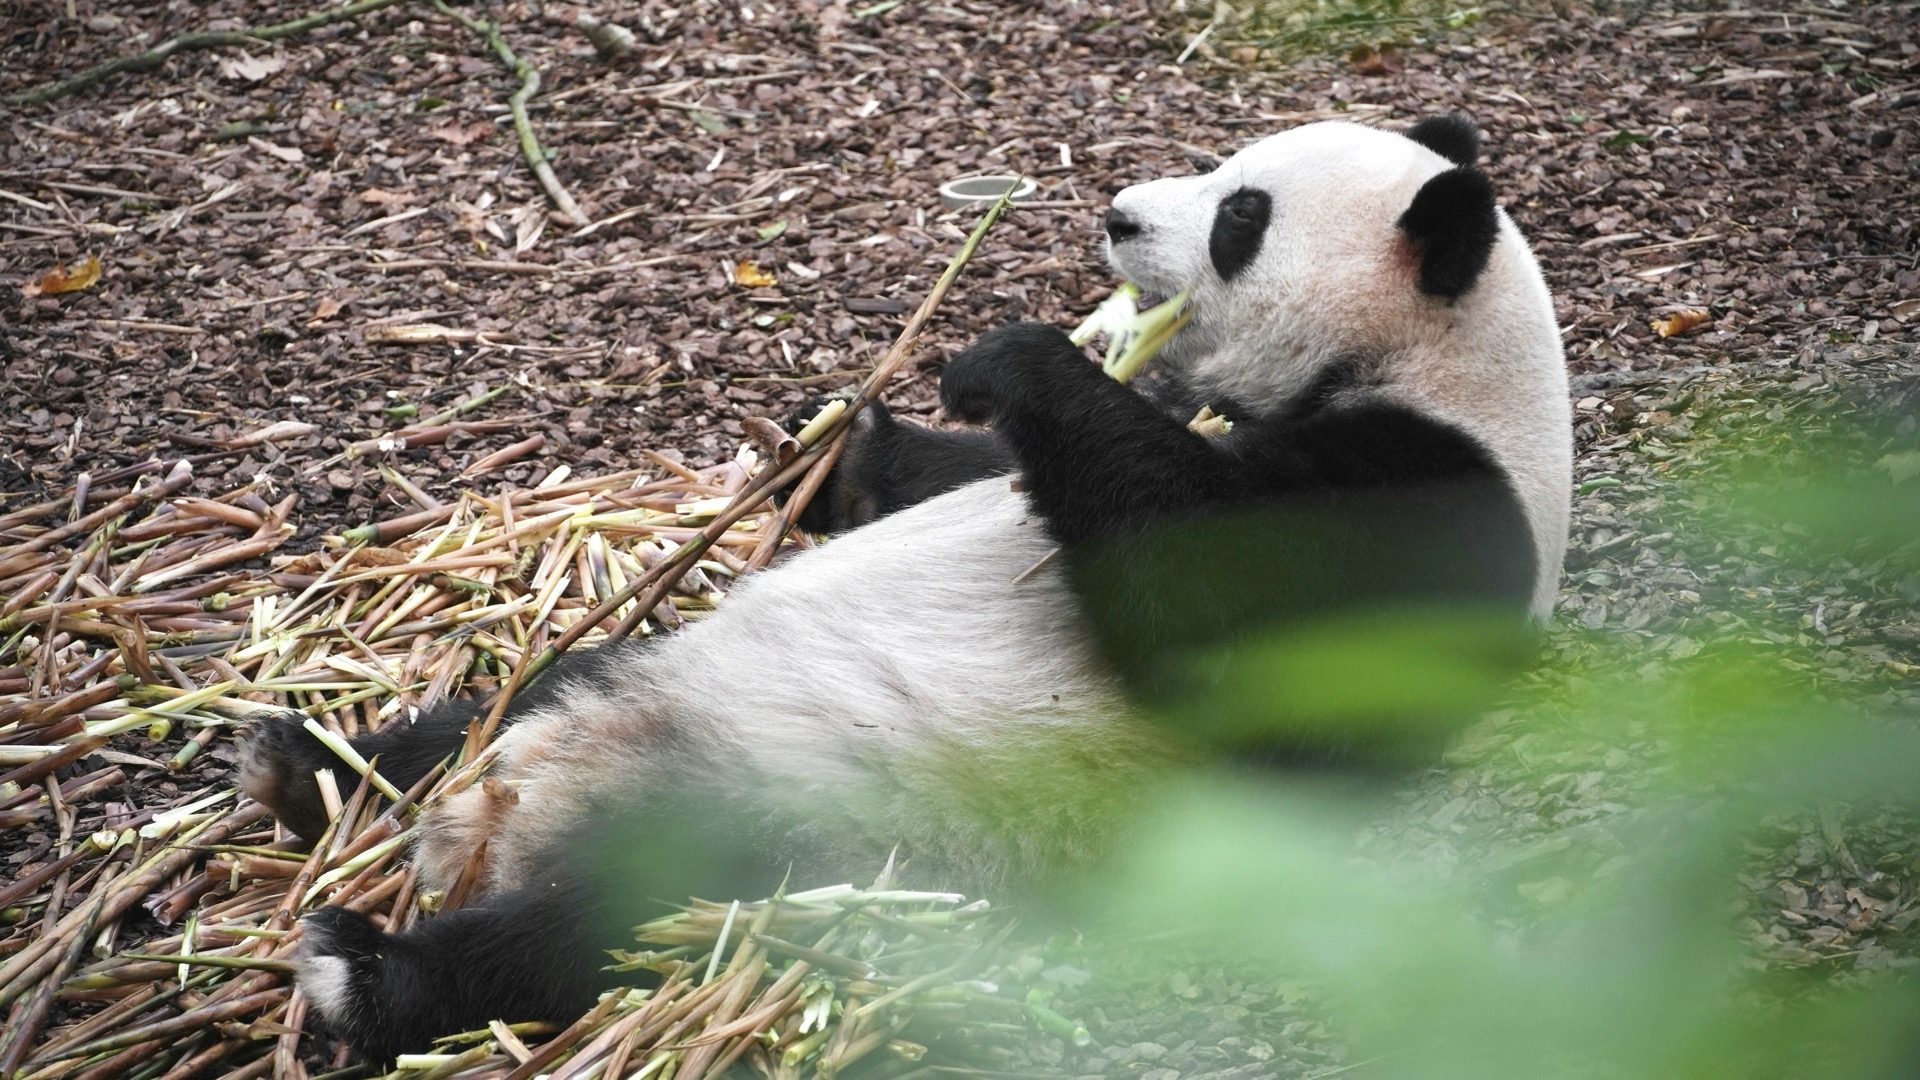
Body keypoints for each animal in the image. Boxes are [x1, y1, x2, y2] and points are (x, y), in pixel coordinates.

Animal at [238, 115, 1571, 1060]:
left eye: (1242, 214)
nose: (1120, 218)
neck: (1438, 366)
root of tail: (514, 816)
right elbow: (958, 477)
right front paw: (842, 440)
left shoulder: (1435, 507)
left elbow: (1232, 618)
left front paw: (1016, 357)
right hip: (627, 675)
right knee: (502, 708)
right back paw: (307, 767)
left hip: (817, 836)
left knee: (615, 920)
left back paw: (366, 975)